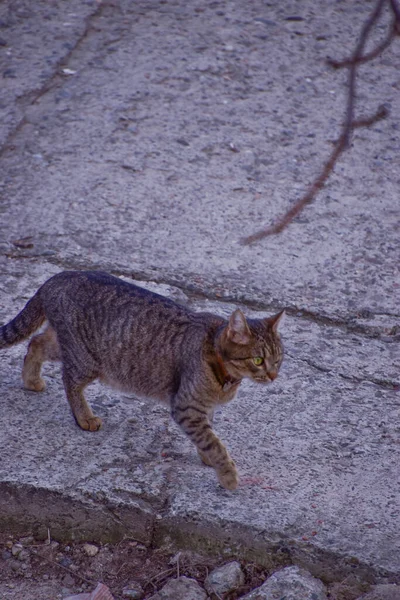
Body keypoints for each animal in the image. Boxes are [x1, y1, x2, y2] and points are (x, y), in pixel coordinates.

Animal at [0, 272, 282, 488]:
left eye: (279, 359)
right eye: (258, 360)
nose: (273, 375)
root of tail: (58, 276)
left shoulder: (203, 407)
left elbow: (208, 433)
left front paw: (208, 458)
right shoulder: (186, 406)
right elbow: (213, 442)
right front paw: (227, 475)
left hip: (66, 346)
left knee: (36, 343)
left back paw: (31, 380)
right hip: (85, 360)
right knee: (68, 379)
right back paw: (84, 416)